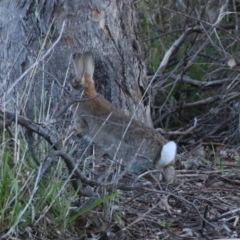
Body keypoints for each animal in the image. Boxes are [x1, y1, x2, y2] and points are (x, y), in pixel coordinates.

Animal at [69, 51, 176, 183]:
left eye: (71, 85)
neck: (86, 94)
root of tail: (161, 151)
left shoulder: (81, 120)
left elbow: (79, 127)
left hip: (136, 161)